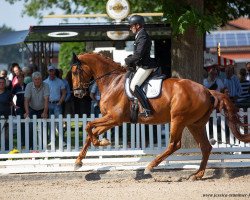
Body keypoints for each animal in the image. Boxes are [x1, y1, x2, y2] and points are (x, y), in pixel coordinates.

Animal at [71, 52, 250, 180]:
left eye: (74, 72)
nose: (78, 93)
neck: (112, 82)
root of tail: (208, 91)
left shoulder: (115, 118)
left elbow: (88, 126)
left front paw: (101, 142)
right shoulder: (112, 119)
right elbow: (91, 131)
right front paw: (80, 160)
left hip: (178, 119)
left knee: (174, 144)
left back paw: (150, 166)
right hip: (195, 124)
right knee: (205, 147)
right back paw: (197, 175)